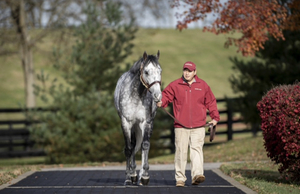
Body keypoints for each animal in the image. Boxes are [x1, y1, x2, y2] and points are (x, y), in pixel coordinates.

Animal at [114, 50, 162, 186]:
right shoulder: (126, 123)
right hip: (133, 126)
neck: (135, 95)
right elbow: (128, 148)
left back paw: (137, 175)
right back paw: (132, 175)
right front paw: (127, 177)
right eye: (146, 72)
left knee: (138, 145)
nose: (158, 96)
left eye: (160, 71)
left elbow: (145, 146)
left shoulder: (146, 122)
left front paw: (145, 176)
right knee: (132, 145)